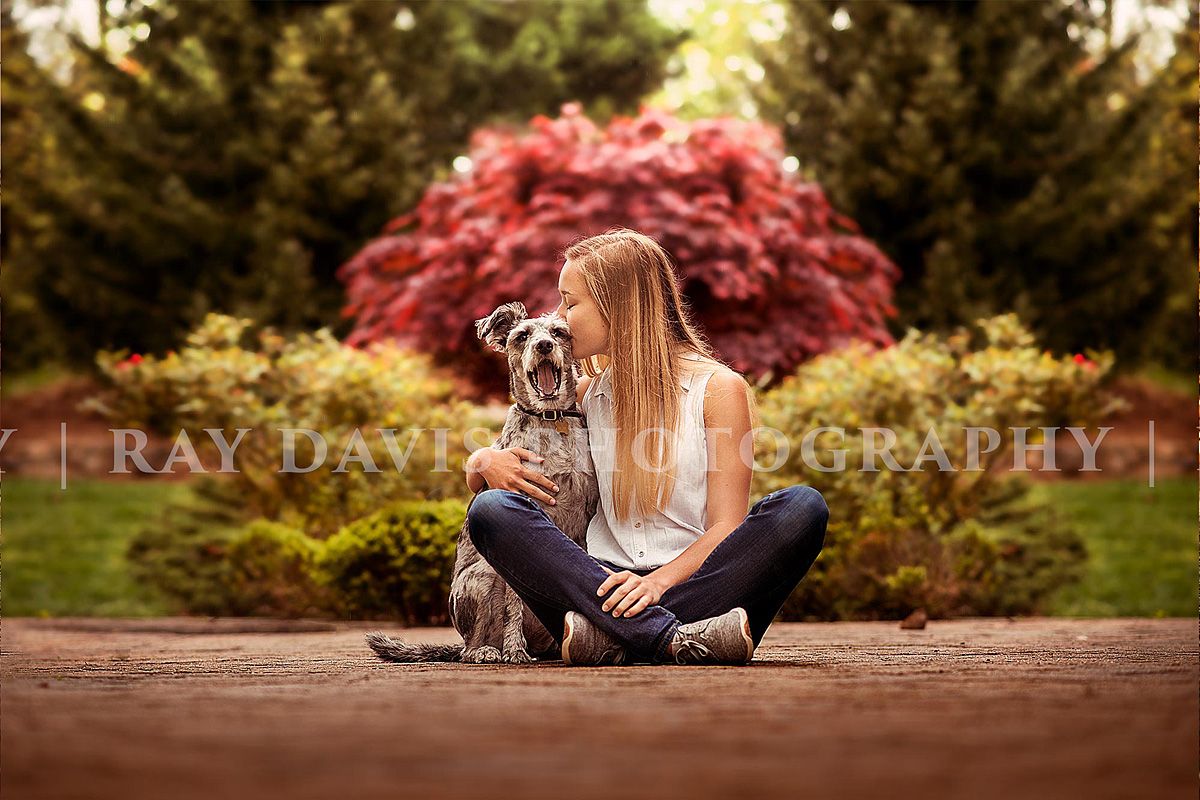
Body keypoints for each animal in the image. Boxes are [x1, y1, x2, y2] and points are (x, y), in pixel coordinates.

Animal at [360, 299, 595, 662]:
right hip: (482, 578)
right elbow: (514, 603)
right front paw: (514, 650)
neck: (551, 419)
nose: (544, 345)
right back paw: (490, 650)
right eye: (521, 336)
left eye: (558, 332)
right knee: (470, 647)